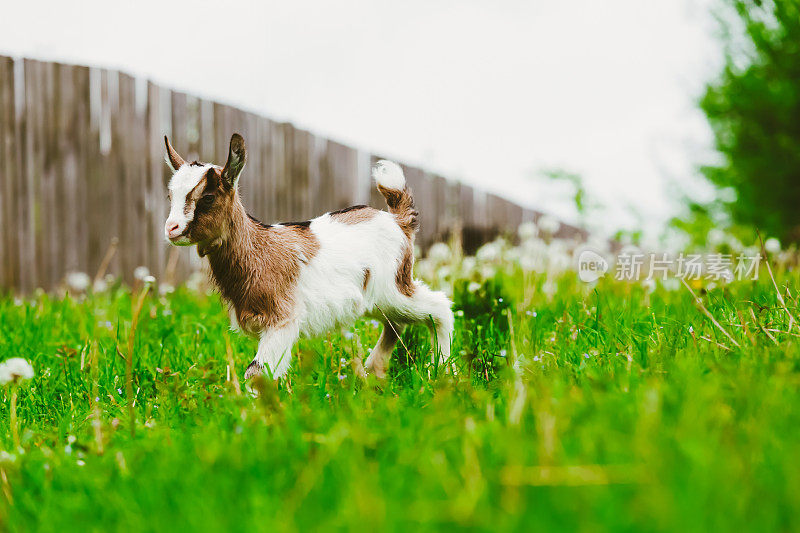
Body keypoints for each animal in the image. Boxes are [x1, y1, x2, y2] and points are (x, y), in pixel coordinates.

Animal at [164, 135, 450, 380]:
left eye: (208, 197)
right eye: (170, 196)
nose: (171, 228)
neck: (258, 248)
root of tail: (398, 220)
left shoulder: (283, 318)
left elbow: (256, 372)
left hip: (395, 286)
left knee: (439, 308)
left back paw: (444, 371)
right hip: (377, 300)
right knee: (396, 324)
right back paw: (374, 371)